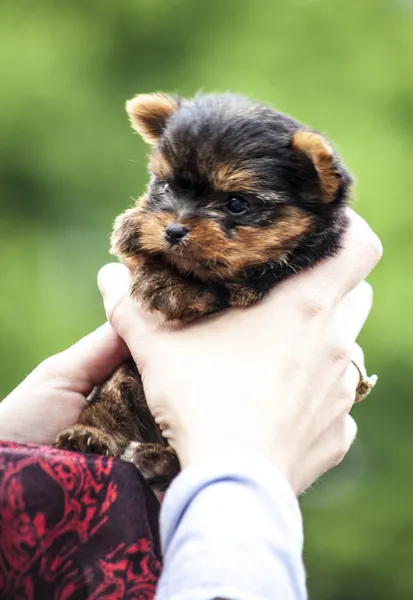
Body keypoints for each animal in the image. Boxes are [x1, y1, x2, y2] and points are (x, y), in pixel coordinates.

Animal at [54, 91, 350, 490]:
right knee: (108, 413)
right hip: (119, 388)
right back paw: (90, 437)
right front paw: (134, 232)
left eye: (237, 203)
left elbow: (232, 279)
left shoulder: (270, 272)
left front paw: (172, 284)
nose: (173, 230)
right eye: (166, 186)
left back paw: (154, 458)